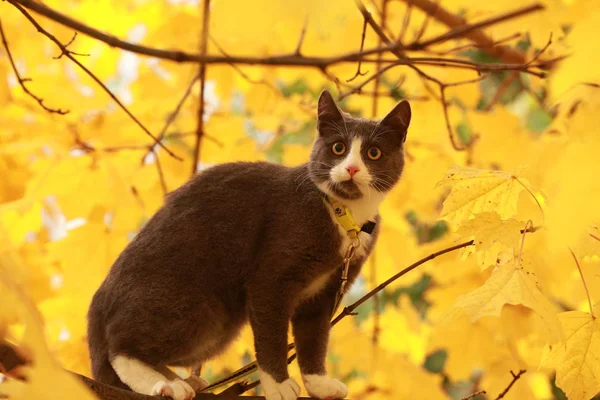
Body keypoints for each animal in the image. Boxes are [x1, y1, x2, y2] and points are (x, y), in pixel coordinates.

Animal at [86, 90, 410, 400]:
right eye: (338, 148)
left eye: (373, 153)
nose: (352, 169)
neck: (345, 217)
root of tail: (97, 311)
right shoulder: (270, 277)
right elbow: (271, 334)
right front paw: (278, 385)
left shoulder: (327, 290)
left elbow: (314, 336)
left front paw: (318, 383)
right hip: (192, 302)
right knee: (121, 346)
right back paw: (167, 384)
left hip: (221, 325)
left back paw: (184, 379)